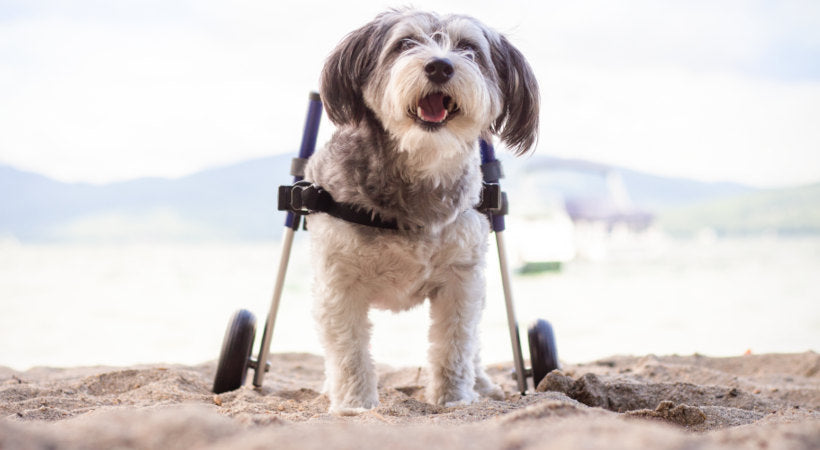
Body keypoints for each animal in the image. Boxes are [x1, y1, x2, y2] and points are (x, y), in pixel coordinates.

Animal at [302, 7, 540, 414]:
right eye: (405, 44)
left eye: (468, 48)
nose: (440, 67)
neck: (420, 167)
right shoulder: (338, 281)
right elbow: (349, 351)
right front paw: (354, 404)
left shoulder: (461, 280)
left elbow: (454, 344)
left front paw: (454, 399)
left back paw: (481, 384)